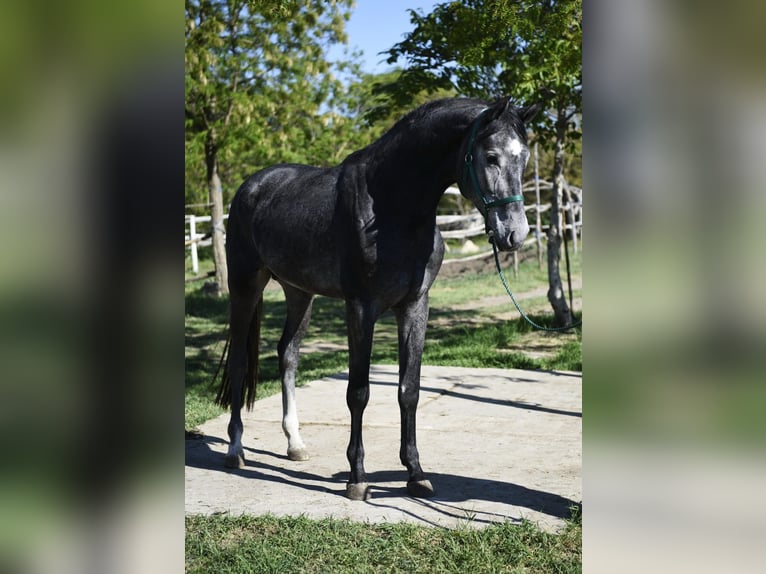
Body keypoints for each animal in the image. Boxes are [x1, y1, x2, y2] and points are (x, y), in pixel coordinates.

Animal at [215, 96, 542, 501]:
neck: (391, 208)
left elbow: (409, 390)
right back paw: (235, 450)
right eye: (492, 156)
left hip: (299, 292)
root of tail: (251, 187)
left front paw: (415, 472)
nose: (515, 234)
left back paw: (295, 444)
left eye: (524, 157)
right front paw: (357, 478)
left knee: (287, 354)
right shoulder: (360, 307)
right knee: (240, 361)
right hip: (246, 285)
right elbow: (358, 392)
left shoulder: (415, 306)